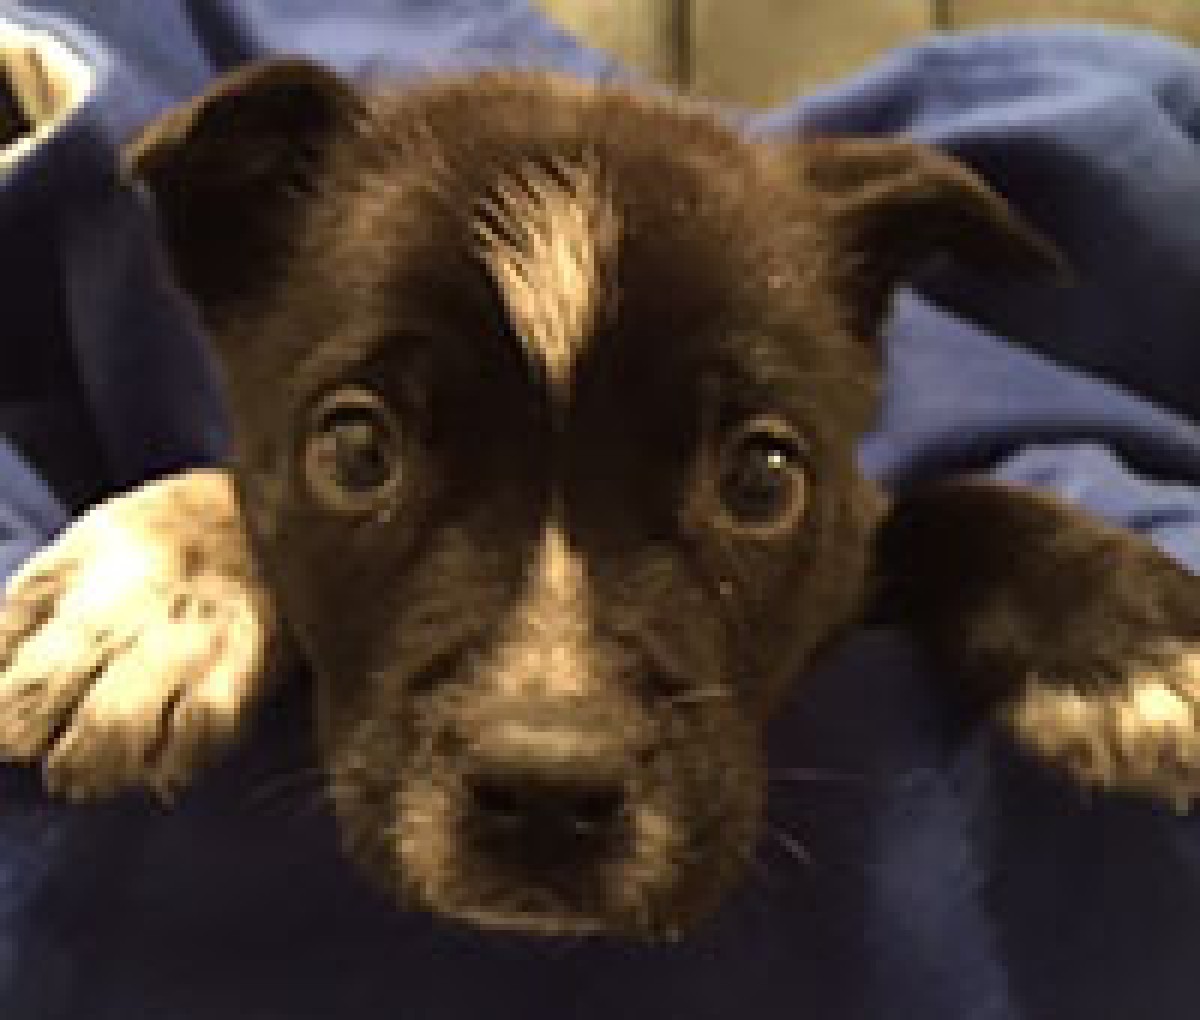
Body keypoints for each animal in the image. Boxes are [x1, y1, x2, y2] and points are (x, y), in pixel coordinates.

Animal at [0, 59, 1198, 942]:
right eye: (355, 451)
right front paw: (146, 594)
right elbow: (225, 488)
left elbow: (954, 501)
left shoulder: (856, 531)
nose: (545, 790)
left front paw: (1126, 645)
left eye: (763, 478)